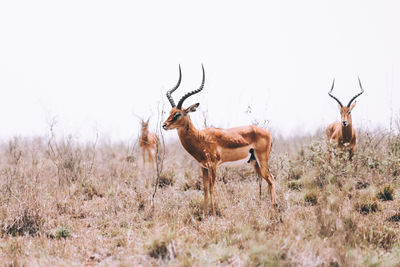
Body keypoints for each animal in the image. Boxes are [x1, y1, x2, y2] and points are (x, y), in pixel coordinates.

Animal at [162, 65, 276, 218]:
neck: (201, 138)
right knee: (268, 180)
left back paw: (275, 210)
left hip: (262, 161)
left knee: (271, 179)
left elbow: (211, 188)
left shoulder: (213, 165)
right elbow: (204, 189)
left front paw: (214, 215)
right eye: (170, 112)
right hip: (254, 162)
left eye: (178, 114)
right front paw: (204, 215)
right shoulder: (203, 167)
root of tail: (268, 133)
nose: (164, 125)